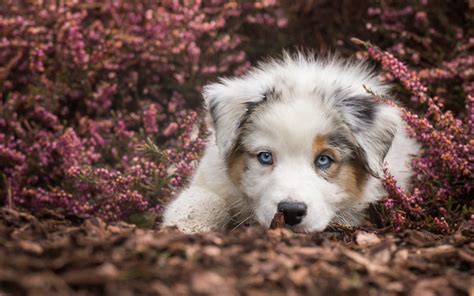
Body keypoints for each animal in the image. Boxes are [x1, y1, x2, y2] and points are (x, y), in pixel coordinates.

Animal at [162, 53, 418, 234]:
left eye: (324, 160)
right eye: (265, 156)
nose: (291, 212)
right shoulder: (211, 177)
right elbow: (202, 198)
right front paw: (186, 226)